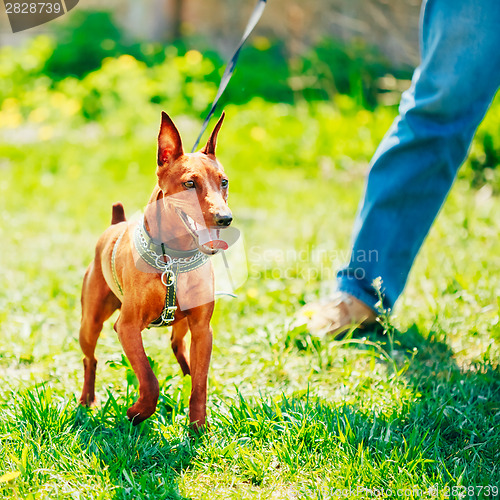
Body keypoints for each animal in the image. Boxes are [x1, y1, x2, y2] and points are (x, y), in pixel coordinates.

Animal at [79, 111, 231, 428]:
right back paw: (87, 399)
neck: (174, 258)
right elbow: (149, 380)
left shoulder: (203, 329)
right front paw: (138, 412)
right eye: (189, 184)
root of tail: (116, 222)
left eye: (223, 182)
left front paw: (198, 427)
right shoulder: (126, 327)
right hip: (90, 322)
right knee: (90, 359)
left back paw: (186, 374)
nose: (225, 218)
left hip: (183, 324)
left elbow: (201, 383)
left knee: (178, 345)